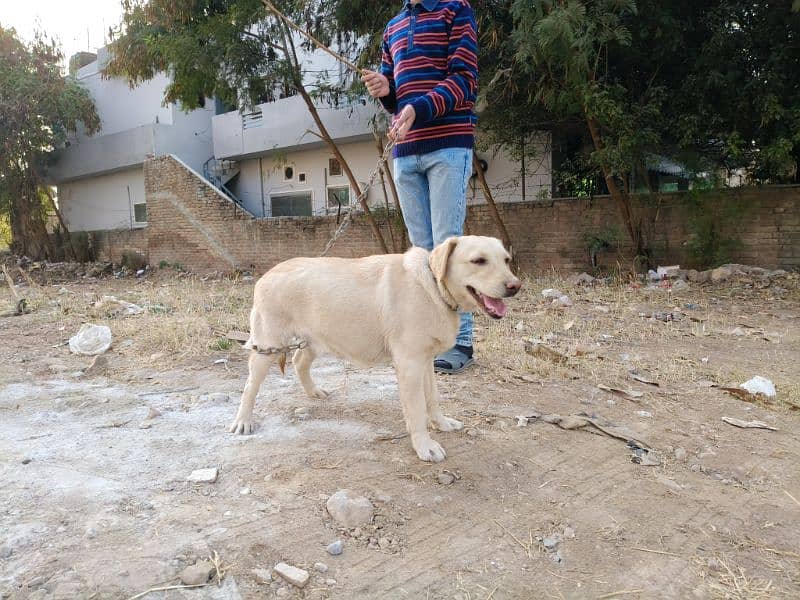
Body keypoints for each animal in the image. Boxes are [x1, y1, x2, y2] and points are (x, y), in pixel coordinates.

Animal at [228, 237, 520, 462]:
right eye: (479, 261)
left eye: (506, 260)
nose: (515, 286)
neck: (433, 287)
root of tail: (266, 275)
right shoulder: (410, 365)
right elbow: (416, 410)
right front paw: (424, 446)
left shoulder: (425, 362)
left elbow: (433, 398)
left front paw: (442, 423)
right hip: (267, 347)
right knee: (250, 386)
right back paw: (243, 421)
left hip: (315, 338)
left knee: (299, 361)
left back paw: (314, 392)